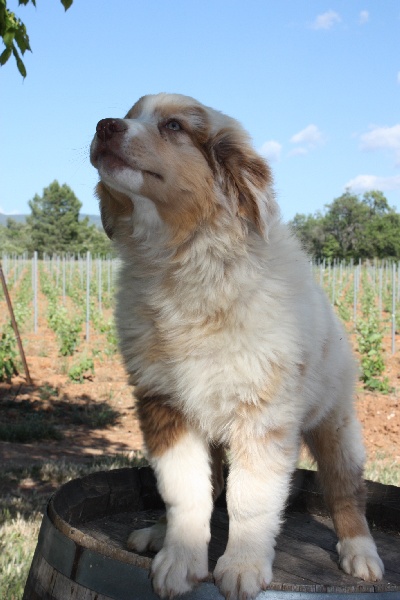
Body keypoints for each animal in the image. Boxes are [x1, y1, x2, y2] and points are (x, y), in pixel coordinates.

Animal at [90, 94, 384, 600]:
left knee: (346, 489)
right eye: (129, 114)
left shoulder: (262, 415)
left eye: (173, 126)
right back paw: (158, 535)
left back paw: (361, 552)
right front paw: (180, 559)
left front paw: (243, 565)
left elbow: (251, 499)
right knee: (211, 487)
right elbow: (185, 491)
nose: (104, 125)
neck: (185, 263)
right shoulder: (163, 404)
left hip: (337, 422)